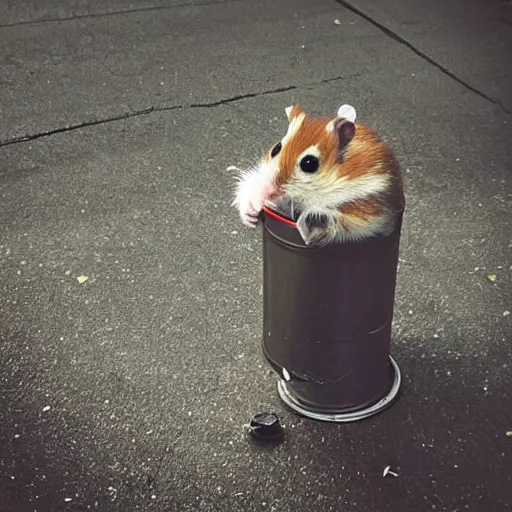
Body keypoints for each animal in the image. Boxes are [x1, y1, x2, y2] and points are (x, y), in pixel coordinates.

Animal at [231, 103, 404, 246]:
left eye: (309, 163)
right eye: (276, 148)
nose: (268, 191)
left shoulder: (369, 209)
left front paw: (310, 224)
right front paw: (252, 213)